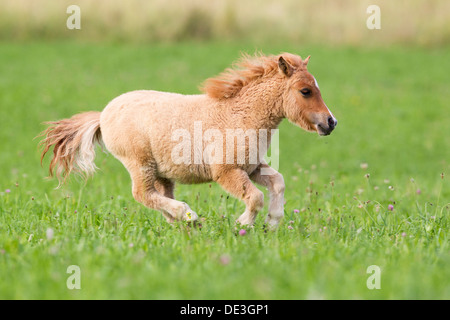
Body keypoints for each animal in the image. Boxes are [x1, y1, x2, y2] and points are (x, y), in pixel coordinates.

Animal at [40, 52, 336, 228]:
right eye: (305, 91)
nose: (330, 122)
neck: (239, 115)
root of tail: (102, 115)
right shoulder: (226, 171)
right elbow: (255, 197)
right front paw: (243, 225)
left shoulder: (251, 167)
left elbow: (278, 182)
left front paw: (272, 223)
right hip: (139, 163)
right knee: (142, 194)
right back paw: (189, 215)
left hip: (162, 172)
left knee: (158, 196)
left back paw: (185, 223)